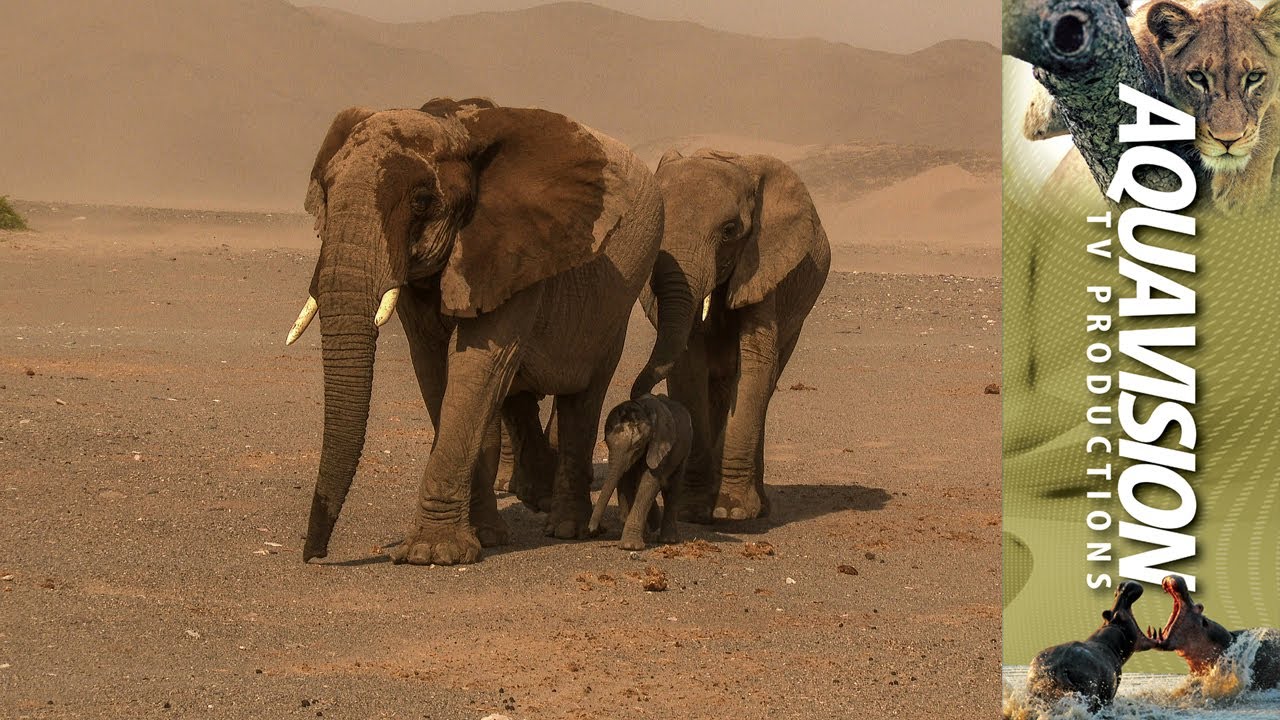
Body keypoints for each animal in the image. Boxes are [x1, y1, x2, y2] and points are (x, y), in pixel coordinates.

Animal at [287, 97, 679, 565]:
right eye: (325, 194)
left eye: (421, 201)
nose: (314, 555)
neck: (456, 129)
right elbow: (436, 369)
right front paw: (483, 538)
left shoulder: (517, 249)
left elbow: (475, 366)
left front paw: (431, 554)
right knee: (516, 395)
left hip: (620, 291)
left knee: (584, 395)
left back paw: (566, 528)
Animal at [587, 394, 692, 550]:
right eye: (606, 442)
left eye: (637, 445)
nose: (592, 530)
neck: (642, 407)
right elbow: (626, 480)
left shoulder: (659, 446)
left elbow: (649, 482)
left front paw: (630, 546)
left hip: (684, 450)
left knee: (673, 487)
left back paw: (668, 540)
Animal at [630, 149, 831, 522]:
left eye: (729, 231)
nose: (640, 402)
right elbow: (689, 366)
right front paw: (693, 510)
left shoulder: (762, 265)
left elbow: (755, 364)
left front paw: (730, 511)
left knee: (766, 383)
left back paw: (760, 508)